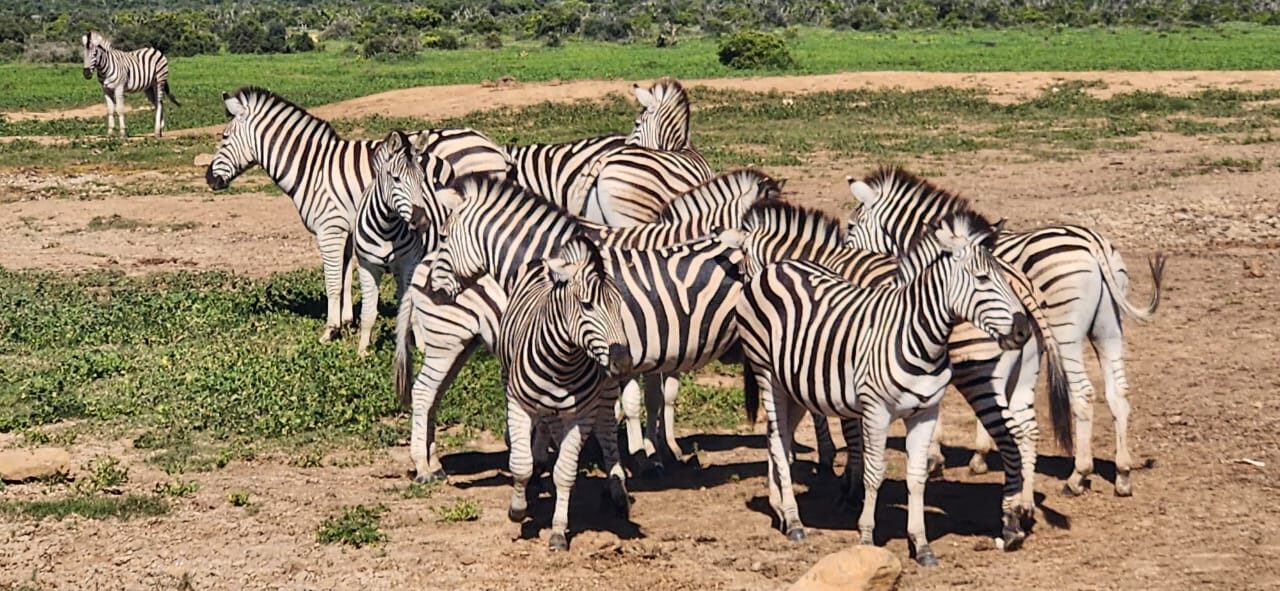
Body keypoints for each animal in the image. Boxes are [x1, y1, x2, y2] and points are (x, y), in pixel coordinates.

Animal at [206, 86, 507, 344]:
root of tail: (493, 146)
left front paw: (330, 330)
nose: (209, 179)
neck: (312, 168)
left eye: (224, 138)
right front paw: (347, 321)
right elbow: (345, 275)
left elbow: (332, 280)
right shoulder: (349, 229)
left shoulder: (330, 228)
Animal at [395, 171, 770, 483]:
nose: (433, 288)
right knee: (425, 393)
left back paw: (432, 464)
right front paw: (642, 457)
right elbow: (635, 403)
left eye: (445, 235)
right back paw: (425, 467)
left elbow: (650, 399)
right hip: (448, 341)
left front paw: (651, 454)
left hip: (457, 344)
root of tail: (420, 270)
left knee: (431, 395)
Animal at [496, 236, 633, 551]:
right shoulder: (518, 404)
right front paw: (517, 509)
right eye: (587, 305)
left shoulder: (582, 414)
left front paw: (558, 531)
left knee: (606, 431)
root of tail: (550, 261)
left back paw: (617, 489)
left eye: (620, 306)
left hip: (605, 391)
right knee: (546, 429)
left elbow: (566, 472)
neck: (562, 364)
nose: (623, 363)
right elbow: (520, 465)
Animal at [730, 199, 1073, 541]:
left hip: (979, 375)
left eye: (742, 262)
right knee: (1028, 431)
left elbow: (849, 433)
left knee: (1010, 437)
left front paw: (849, 487)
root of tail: (1021, 286)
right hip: (1023, 377)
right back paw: (1024, 509)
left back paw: (1012, 516)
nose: (743, 291)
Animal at [844, 166, 1165, 497]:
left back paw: (1078, 476)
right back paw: (1123, 474)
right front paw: (980, 454)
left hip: (1066, 331)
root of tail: (1093, 243)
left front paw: (937, 457)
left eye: (851, 225)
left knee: (1084, 394)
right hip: (1108, 329)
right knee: (1119, 392)